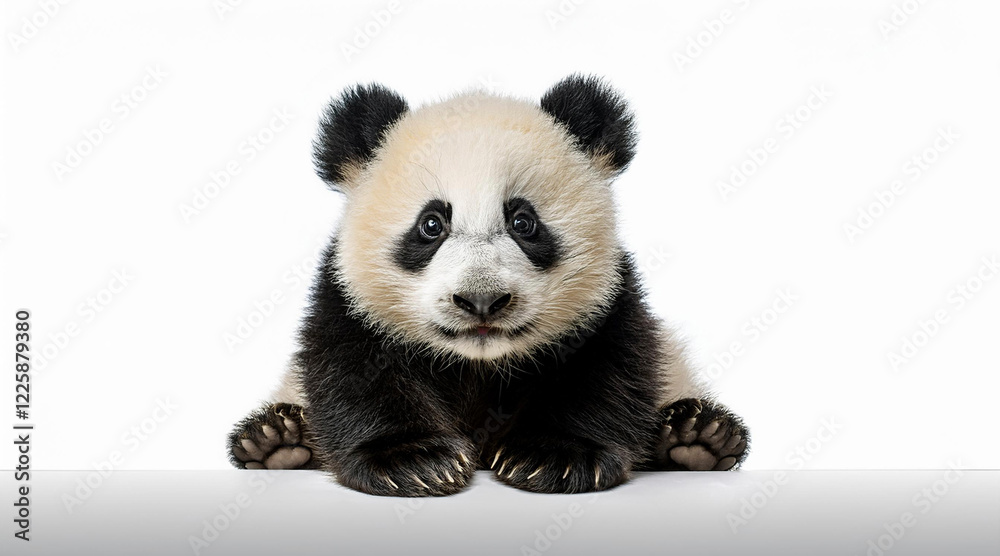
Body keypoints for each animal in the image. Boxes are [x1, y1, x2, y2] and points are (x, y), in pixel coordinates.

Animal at [228, 75, 750, 496]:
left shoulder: (607, 299)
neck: (478, 364)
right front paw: (413, 462)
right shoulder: (349, 297)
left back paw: (697, 438)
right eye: (431, 225)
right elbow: (351, 370)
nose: (481, 300)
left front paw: (554, 456)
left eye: (523, 222)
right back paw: (277, 440)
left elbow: (610, 368)